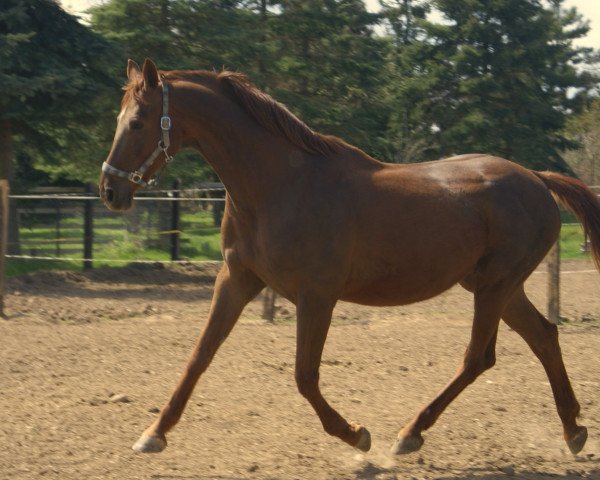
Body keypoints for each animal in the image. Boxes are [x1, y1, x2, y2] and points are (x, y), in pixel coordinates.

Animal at [101, 58, 600, 456]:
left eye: (139, 121)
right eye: (121, 117)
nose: (110, 190)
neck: (279, 186)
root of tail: (537, 178)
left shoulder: (316, 295)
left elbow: (304, 375)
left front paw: (356, 434)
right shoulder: (237, 279)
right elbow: (199, 355)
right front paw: (154, 433)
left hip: (495, 286)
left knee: (478, 358)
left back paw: (410, 433)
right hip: (496, 286)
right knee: (543, 337)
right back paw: (573, 430)